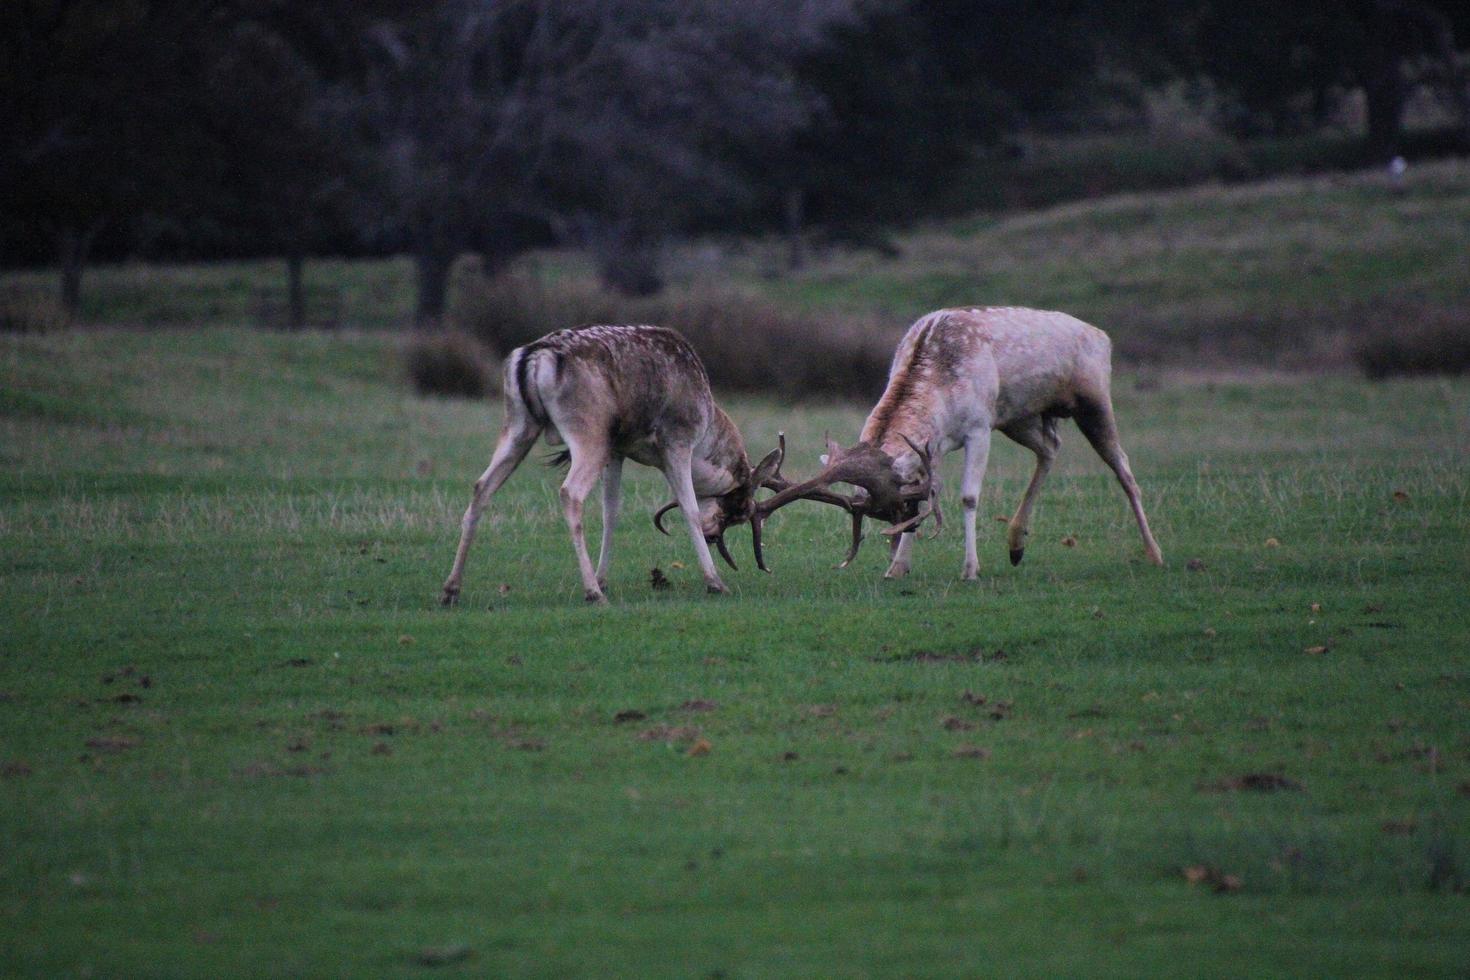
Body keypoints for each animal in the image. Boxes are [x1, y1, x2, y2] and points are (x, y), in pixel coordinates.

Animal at [435, 323, 846, 605]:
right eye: (740, 509)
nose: (716, 538)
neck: (706, 428)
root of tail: (534, 358)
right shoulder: (677, 441)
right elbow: (689, 508)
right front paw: (715, 582)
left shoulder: (618, 449)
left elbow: (611, 510)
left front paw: (605, 577)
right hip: (588, 432)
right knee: (570, 493)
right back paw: (591, 593)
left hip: (519, 425)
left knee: (481, 486)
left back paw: (451, 590)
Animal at [752, 310, 1164, 578]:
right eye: (885, 513)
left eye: (896, 508)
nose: (890, 552)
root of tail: (1103, 336)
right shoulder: (934, 446)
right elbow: (931, 492)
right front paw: (899, 567)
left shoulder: (979, 427)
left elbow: (968, 497)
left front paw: (970, 568)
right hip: (1018, 417)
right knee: (1050, 447)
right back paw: (1016, 543)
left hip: (1094, 398)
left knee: (1124, 469)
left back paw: (1154, 553)